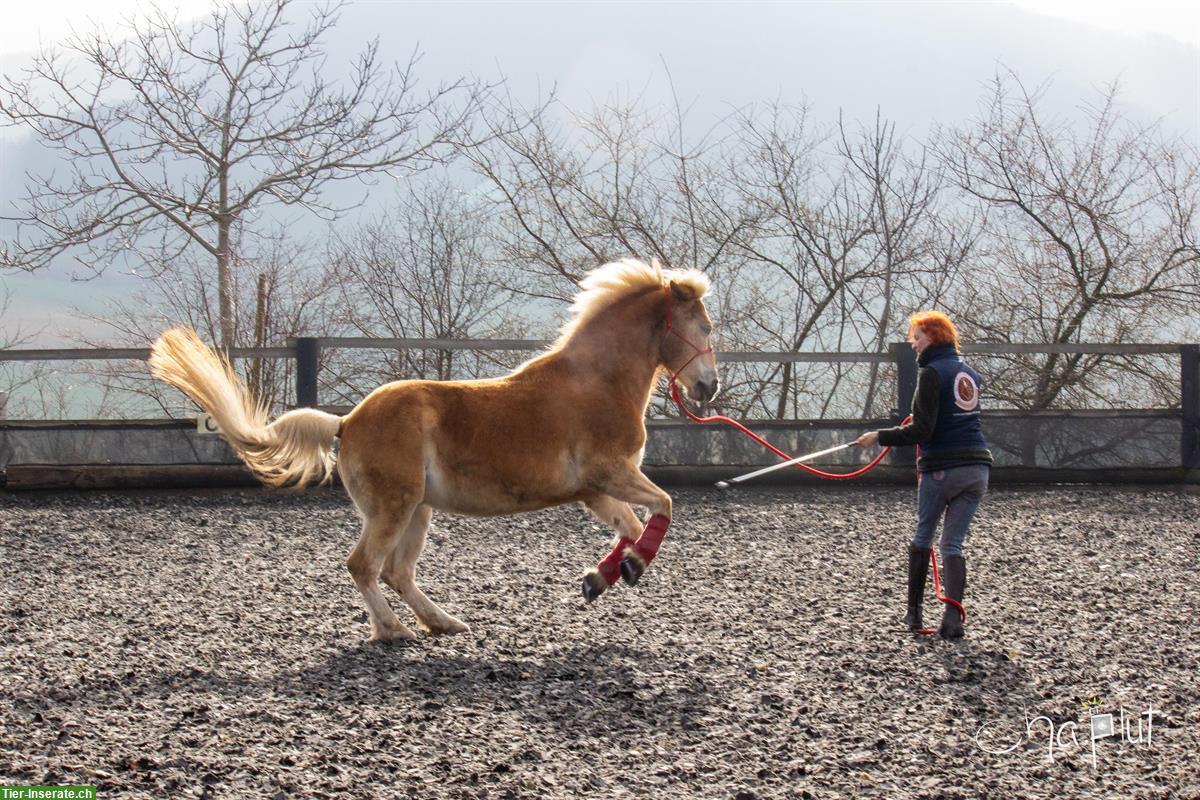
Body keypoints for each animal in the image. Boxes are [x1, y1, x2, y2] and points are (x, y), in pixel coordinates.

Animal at [145, 257, 715, 642]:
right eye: (705, 327)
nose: (708, 388)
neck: (595, 383)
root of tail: (347, 420)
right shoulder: (608, 473)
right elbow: (661, 508)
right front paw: (631, 566)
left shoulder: (593, 490)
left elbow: (630, 524)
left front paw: (603, 576)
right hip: (394, 506)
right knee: (364, 565)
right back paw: (394, 630)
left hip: (417, 509)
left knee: (396, 572)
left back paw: (443, 622)